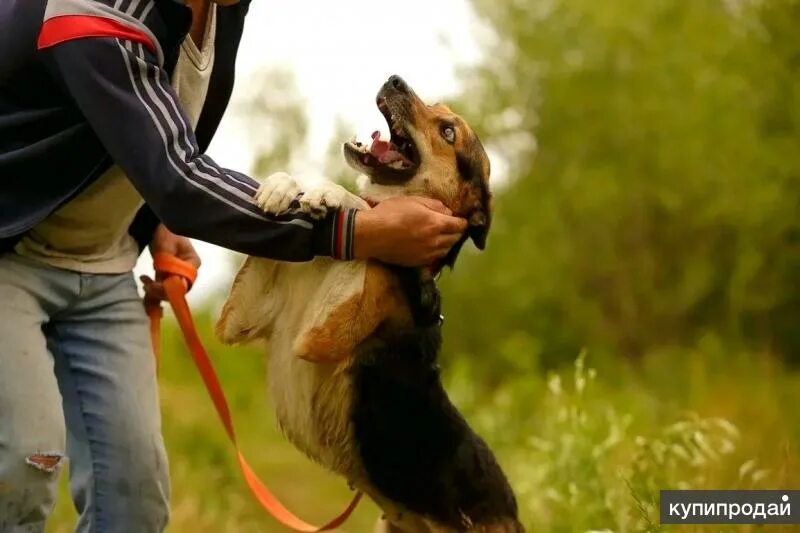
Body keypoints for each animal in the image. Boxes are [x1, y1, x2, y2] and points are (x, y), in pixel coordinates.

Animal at [216, 76, 520, 532]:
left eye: (448, 132)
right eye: (438, 109)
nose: (394, 79)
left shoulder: (319, 335)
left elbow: (364, 207)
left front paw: (332, 195)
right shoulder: (244, 314)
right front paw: (284, 186)